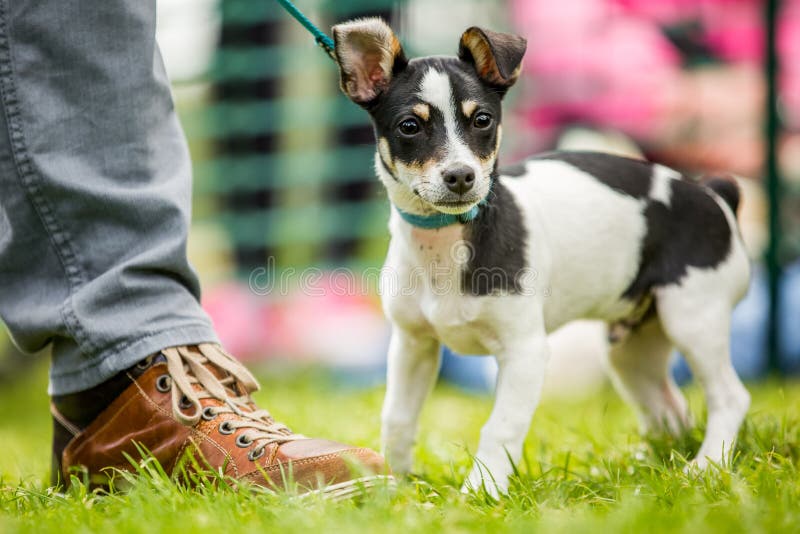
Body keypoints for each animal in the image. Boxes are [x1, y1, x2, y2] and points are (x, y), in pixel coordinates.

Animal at [330, 17, 752, 498]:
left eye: (482, 120)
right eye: (408, 127)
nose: (461, 176)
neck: (444, 243)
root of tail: (713, 194)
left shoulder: (525, 352)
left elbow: (500, 426)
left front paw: (482, 490)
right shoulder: (412, 344)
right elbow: (397, 418)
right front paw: (396, 488)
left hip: (693, 318)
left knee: (729, 397)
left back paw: (706, 466)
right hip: (632, 350)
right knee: (670, 409)